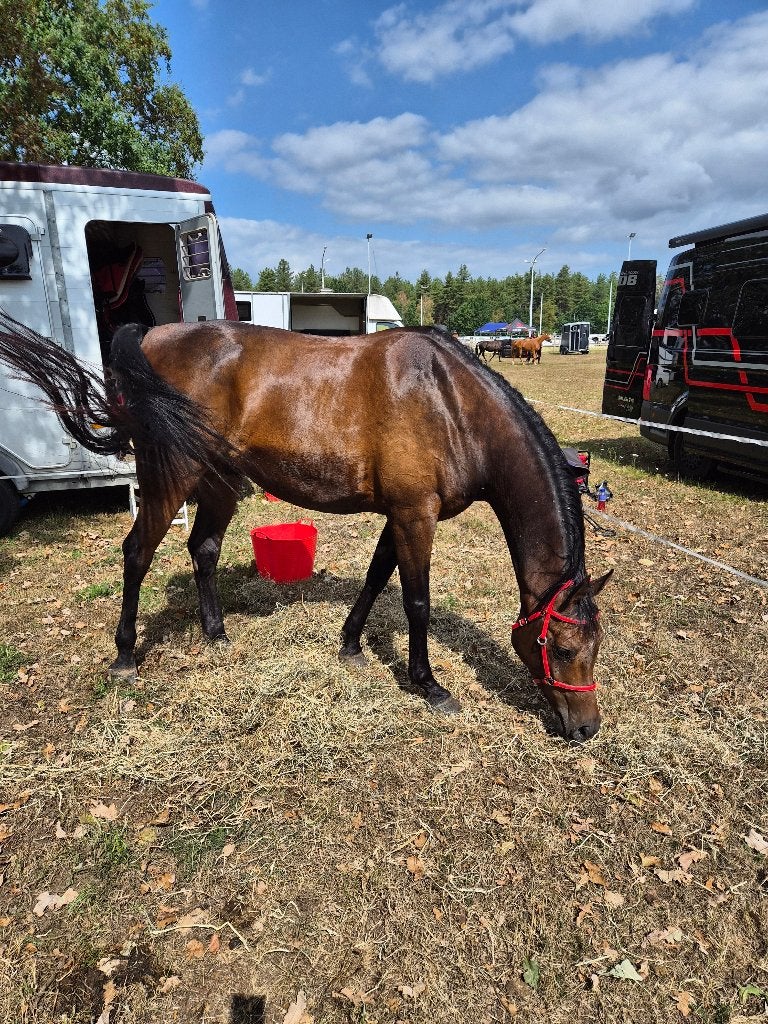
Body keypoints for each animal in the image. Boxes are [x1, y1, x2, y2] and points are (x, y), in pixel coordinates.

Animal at [0, 312, 612, 742]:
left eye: (595, 646)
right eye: (560, 648)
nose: (587, 728)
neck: (452, 402)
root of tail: (150, 337)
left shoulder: (401, 514)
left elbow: (376, 577)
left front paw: (350, 644)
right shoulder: (416, 515)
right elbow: (416, 601)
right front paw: (428, 683)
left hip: (219, 482)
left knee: (204, 549)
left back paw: (216, 633)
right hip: (170, 478)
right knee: (136, 554)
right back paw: (126, 656)